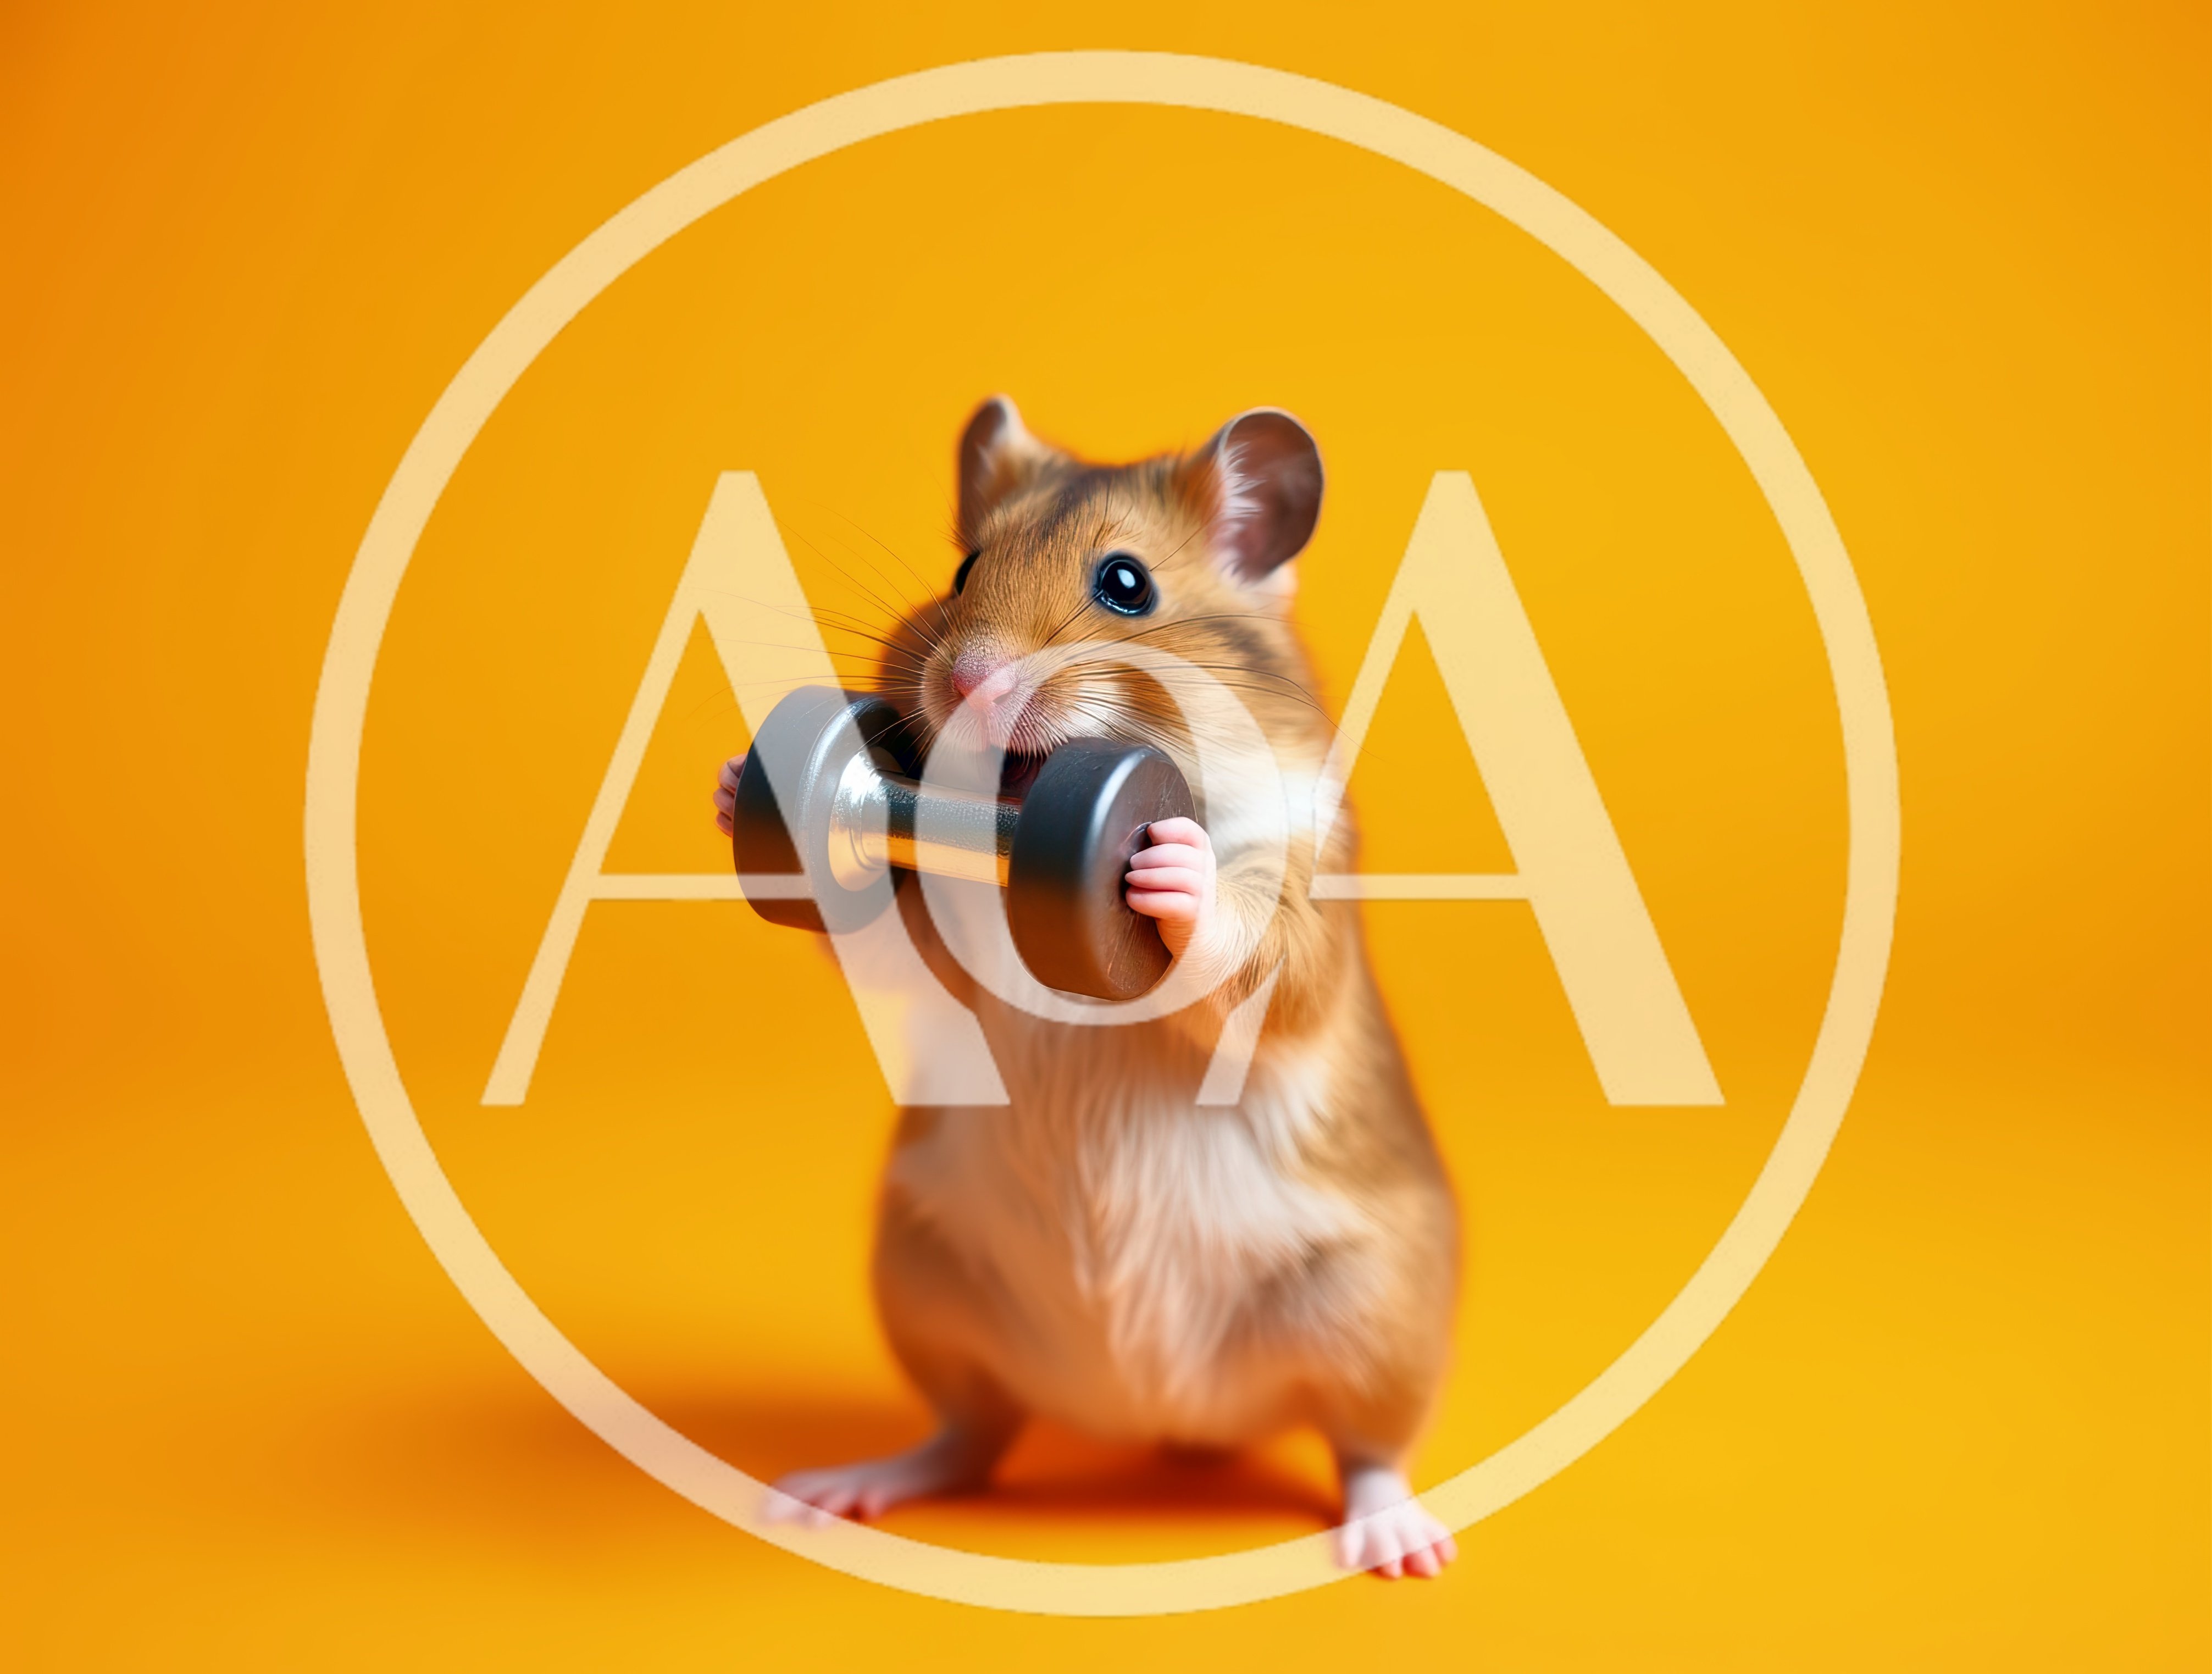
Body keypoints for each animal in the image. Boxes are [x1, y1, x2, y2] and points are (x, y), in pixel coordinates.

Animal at [713, 398, 1460, 1578]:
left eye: (1125, 585)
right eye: (964, 568)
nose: (967, 682)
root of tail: (1161, 1415)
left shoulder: (1305, 914)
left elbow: (1260, 954)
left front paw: (1166, 863)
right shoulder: (936, 961)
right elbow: (879, 941)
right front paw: (740, 780)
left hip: (1374, 1316)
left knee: (1369, 1449)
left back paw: (1404, 1547)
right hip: (925, 1286)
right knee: (967, 1436)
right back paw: (833, 1492)